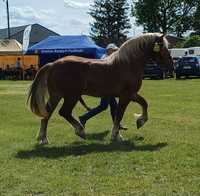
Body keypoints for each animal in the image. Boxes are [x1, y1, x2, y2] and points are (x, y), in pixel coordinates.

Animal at [27, 33, 173, 144]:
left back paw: (43, 138)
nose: (171, 65)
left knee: (47, 113)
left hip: (57, 95)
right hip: (71, 96)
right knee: (64, 112)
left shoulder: (131, 94)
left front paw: (139, 121)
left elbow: (144, 103)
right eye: (162, 47)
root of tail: (53, 64)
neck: (128, 63)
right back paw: (80, 131)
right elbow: (119, 115)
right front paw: (116, 135)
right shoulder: (126, 95)